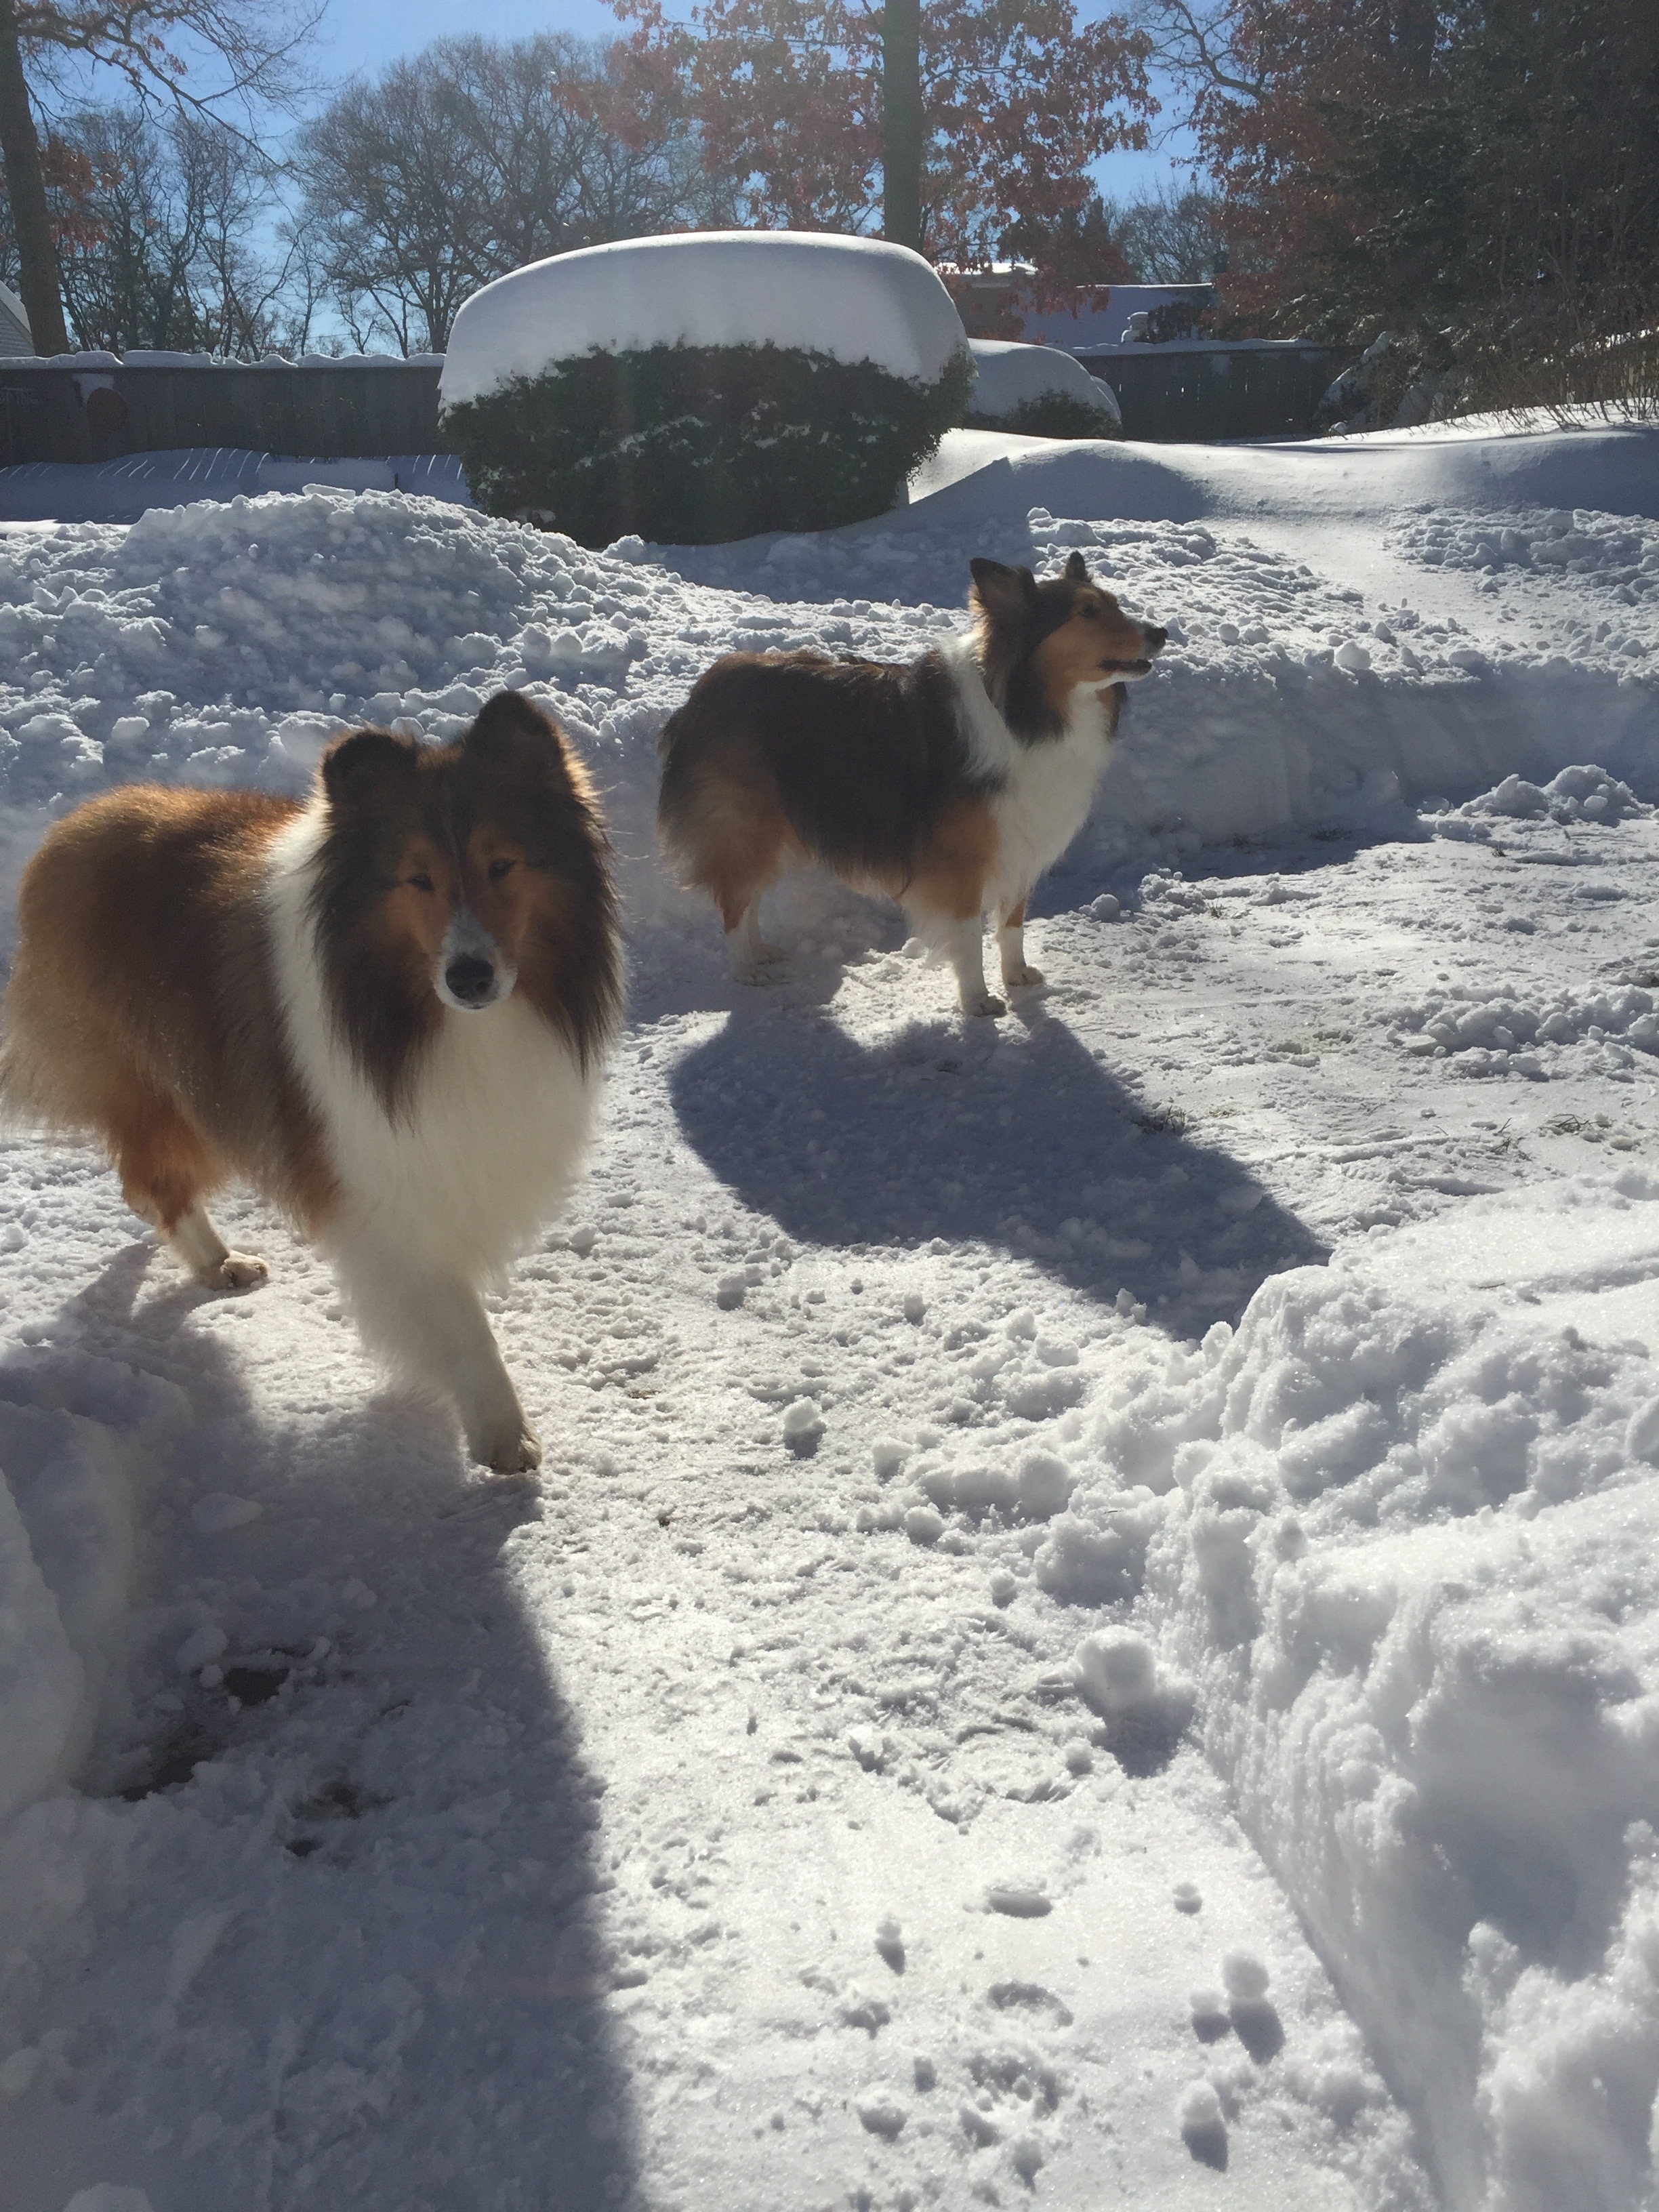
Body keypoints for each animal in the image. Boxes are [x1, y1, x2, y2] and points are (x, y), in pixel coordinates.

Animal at [0, 691, 619, 1473]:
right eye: (418, 878)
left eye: (501, 864)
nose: (469, 977)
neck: (429, 1021)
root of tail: (76, 828)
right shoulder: (385, 1189)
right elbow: (459, 1323)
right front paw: (503, 1436)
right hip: (181, 1089)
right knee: (151, 1180)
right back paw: (217, 1261)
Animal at [657, 552, 1165, 1015]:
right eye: (1087, 613)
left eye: (1113, 604)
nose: (1160, 633)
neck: (1026, 712)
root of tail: (701, 691)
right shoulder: (963, 860)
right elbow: (969, 935)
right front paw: (978, 999)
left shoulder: (1019, 840)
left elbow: (1011, 924)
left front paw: (1016, 975)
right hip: (747, 824)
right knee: (733, 900)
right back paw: (746, 968)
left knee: (748, 896)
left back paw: (760, 949)